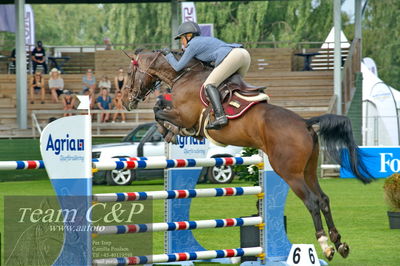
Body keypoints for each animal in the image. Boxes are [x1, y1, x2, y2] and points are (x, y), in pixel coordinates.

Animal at [121, 50, 372, 262]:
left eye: (129, 75)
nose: (125, 101)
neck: (183, 75)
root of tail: (306, 123)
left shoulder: (184, 115)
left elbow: (159, 110)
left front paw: (167, 131)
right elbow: (161, 109)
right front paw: (170, 132)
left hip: (289, 172)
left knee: (312, 201)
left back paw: (326, 246)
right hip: (308, 170)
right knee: (324, 199)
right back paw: (340, 244)